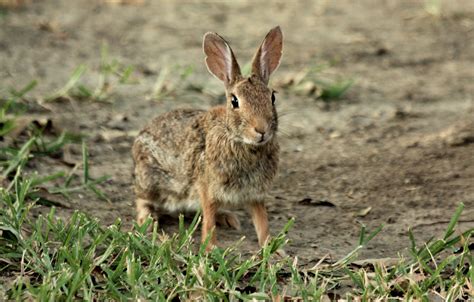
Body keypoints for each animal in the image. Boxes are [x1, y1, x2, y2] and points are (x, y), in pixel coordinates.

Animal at [131, 26, 284, 249]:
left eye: (272, 97)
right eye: (234, 101)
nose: (261, 130)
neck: (238, 140)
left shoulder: (254, 195)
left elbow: (262, 222)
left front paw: (272, 249)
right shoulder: (207, 189)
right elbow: (209, 219)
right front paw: (209, 248)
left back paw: (228, 218)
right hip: (150, 180)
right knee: (142, 200)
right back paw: (148, 222)